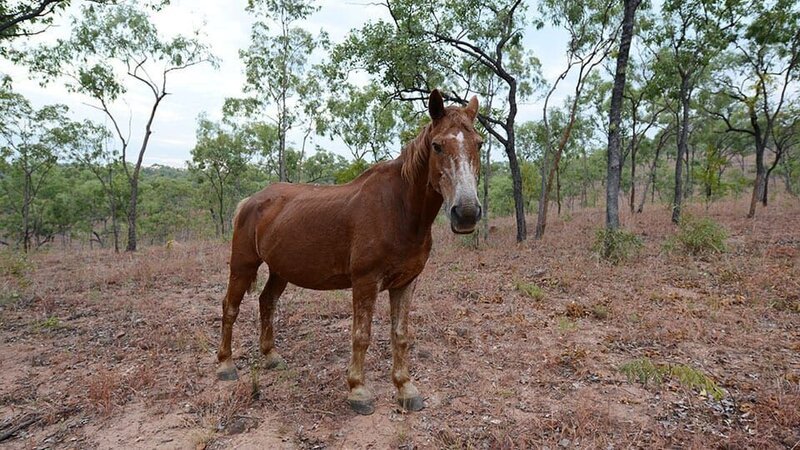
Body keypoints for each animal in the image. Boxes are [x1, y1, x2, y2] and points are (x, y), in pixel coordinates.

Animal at [216, 89, 483, 415]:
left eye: (479, 143)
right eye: (437, 145)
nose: (466, 213)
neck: (398, 209)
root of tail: (250, 201)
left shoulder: (406, 283)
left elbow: (400, 335)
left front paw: (405, 389)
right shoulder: (365, 282)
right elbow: (361, 335)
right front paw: (358, 391)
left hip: (280, 269)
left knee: (267, 302)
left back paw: (270, 356)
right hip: (243, 265)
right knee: (230, 307)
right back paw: (226, 365)